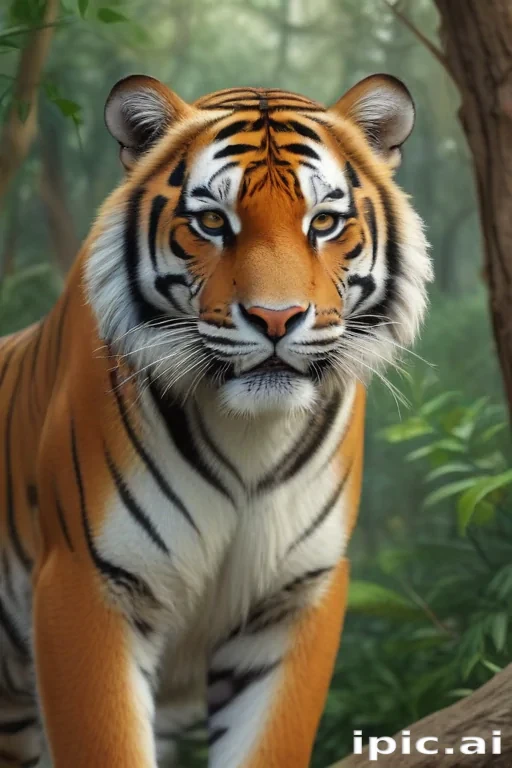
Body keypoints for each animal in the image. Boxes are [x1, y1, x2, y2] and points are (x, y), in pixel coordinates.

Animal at [0, 73, 431, 768]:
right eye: (211, 222)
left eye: (324, 221)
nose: (277, 318)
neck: (251, 432)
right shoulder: (88, 584)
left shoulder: (294, 597)